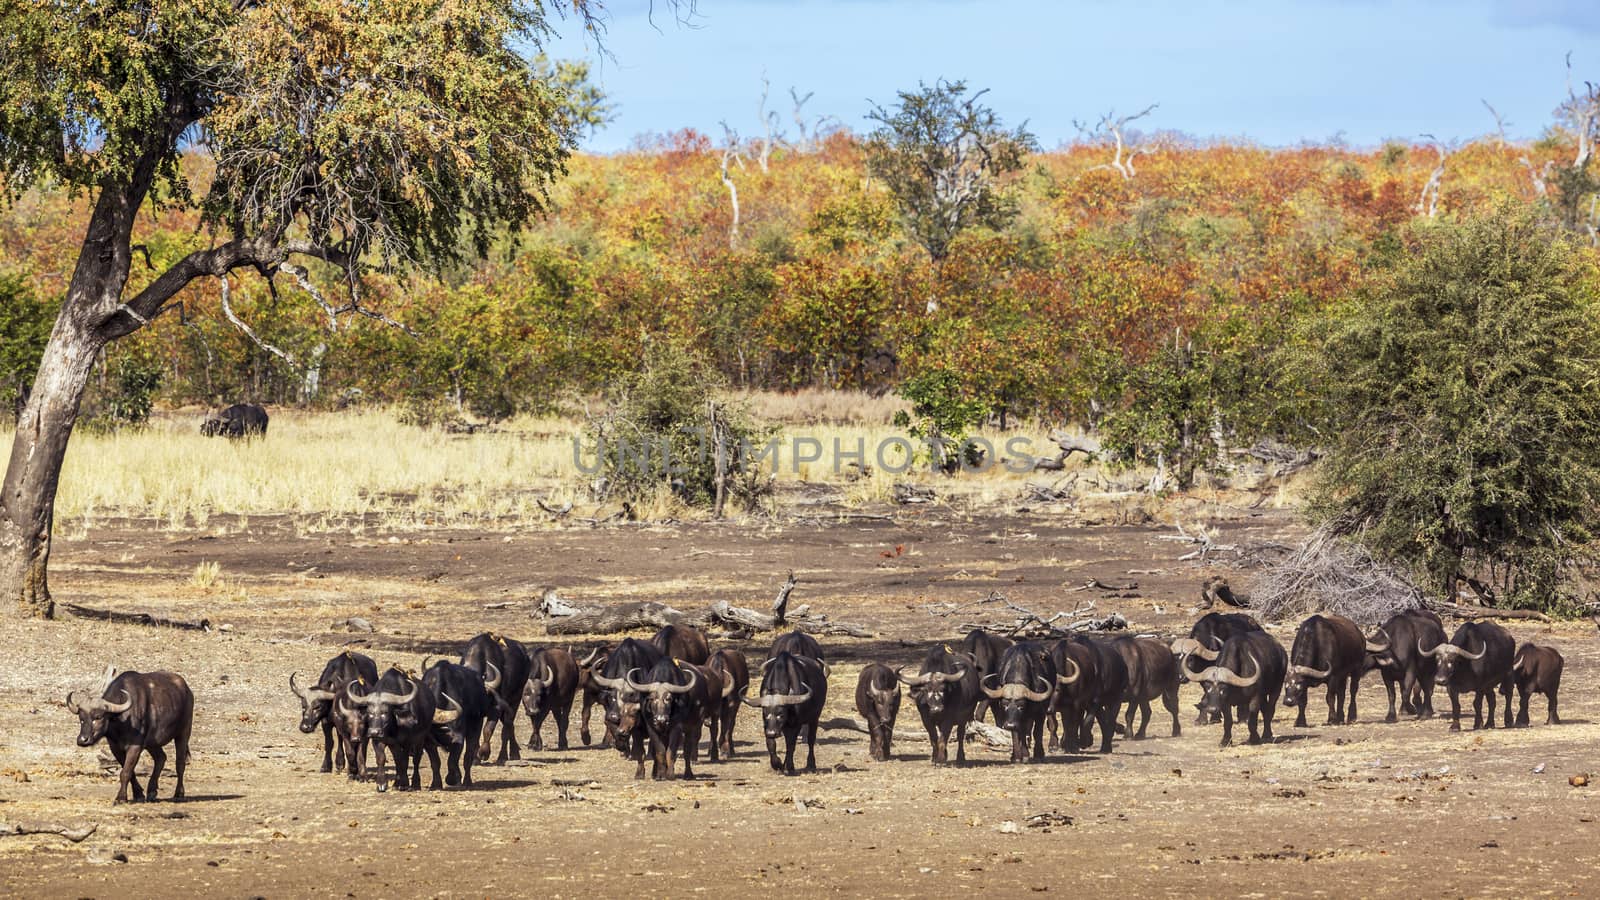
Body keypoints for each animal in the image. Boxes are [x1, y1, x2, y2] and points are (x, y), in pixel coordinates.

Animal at [68, 662, 192, 800]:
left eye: (98, 717)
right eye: (81, 719)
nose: (82, 740)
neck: (121, 722)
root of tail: (187, 690)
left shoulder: (135, 746)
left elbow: (125, 772)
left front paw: (121, 797)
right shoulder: (115, 748)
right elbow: (130, 771)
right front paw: (138, 794)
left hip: (184, 732)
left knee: (180, 762)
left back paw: (179, 793)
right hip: (152, 743)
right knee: (161, 758)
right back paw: (151, 791)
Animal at [745, 643, 832, 771]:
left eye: (781, 714)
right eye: (765, 714)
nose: (772, 733)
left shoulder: (796, 724)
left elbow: (791, 744)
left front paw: (788, 766)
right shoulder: (768, 725)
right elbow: (771, 744)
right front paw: (777, 764)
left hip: (815, 717)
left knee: (811, 740)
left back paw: (811, 764)